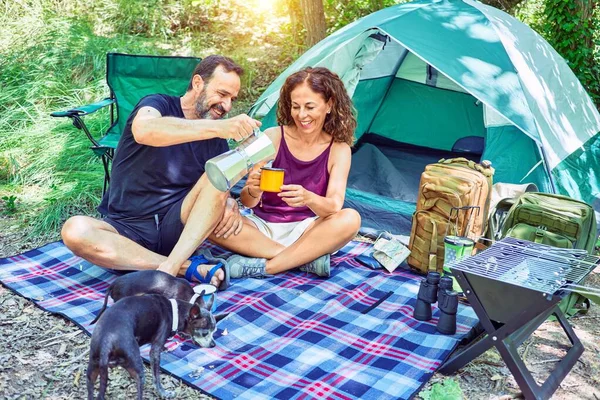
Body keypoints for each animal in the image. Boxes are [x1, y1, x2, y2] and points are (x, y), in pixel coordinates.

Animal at [88, 292, 227, 398]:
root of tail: (107, 340)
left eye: (214, 332)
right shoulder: (155, 351)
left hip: (92, 372)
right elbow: (156, 376)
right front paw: (163, 393)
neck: (175, 312)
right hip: (139, 372)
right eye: (205, 333)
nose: (213, 344)